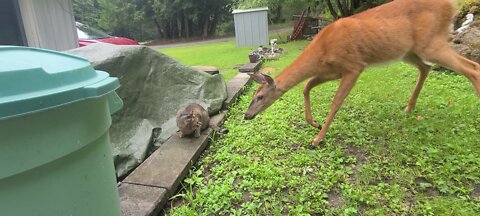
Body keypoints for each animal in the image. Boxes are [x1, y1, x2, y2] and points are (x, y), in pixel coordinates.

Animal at [244, 0, 480, 148]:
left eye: (260, 96)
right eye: (253, 96)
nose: (246, 115)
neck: (322, 50)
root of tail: (450, 5)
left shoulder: (354, 66)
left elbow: (336, 102)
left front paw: (317, 139)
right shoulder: (333, 71)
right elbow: (306, 86)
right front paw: (315, 123)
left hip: (430, 43)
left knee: (471, 68)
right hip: (409, 51)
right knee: (426, 67)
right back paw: (408, 108)